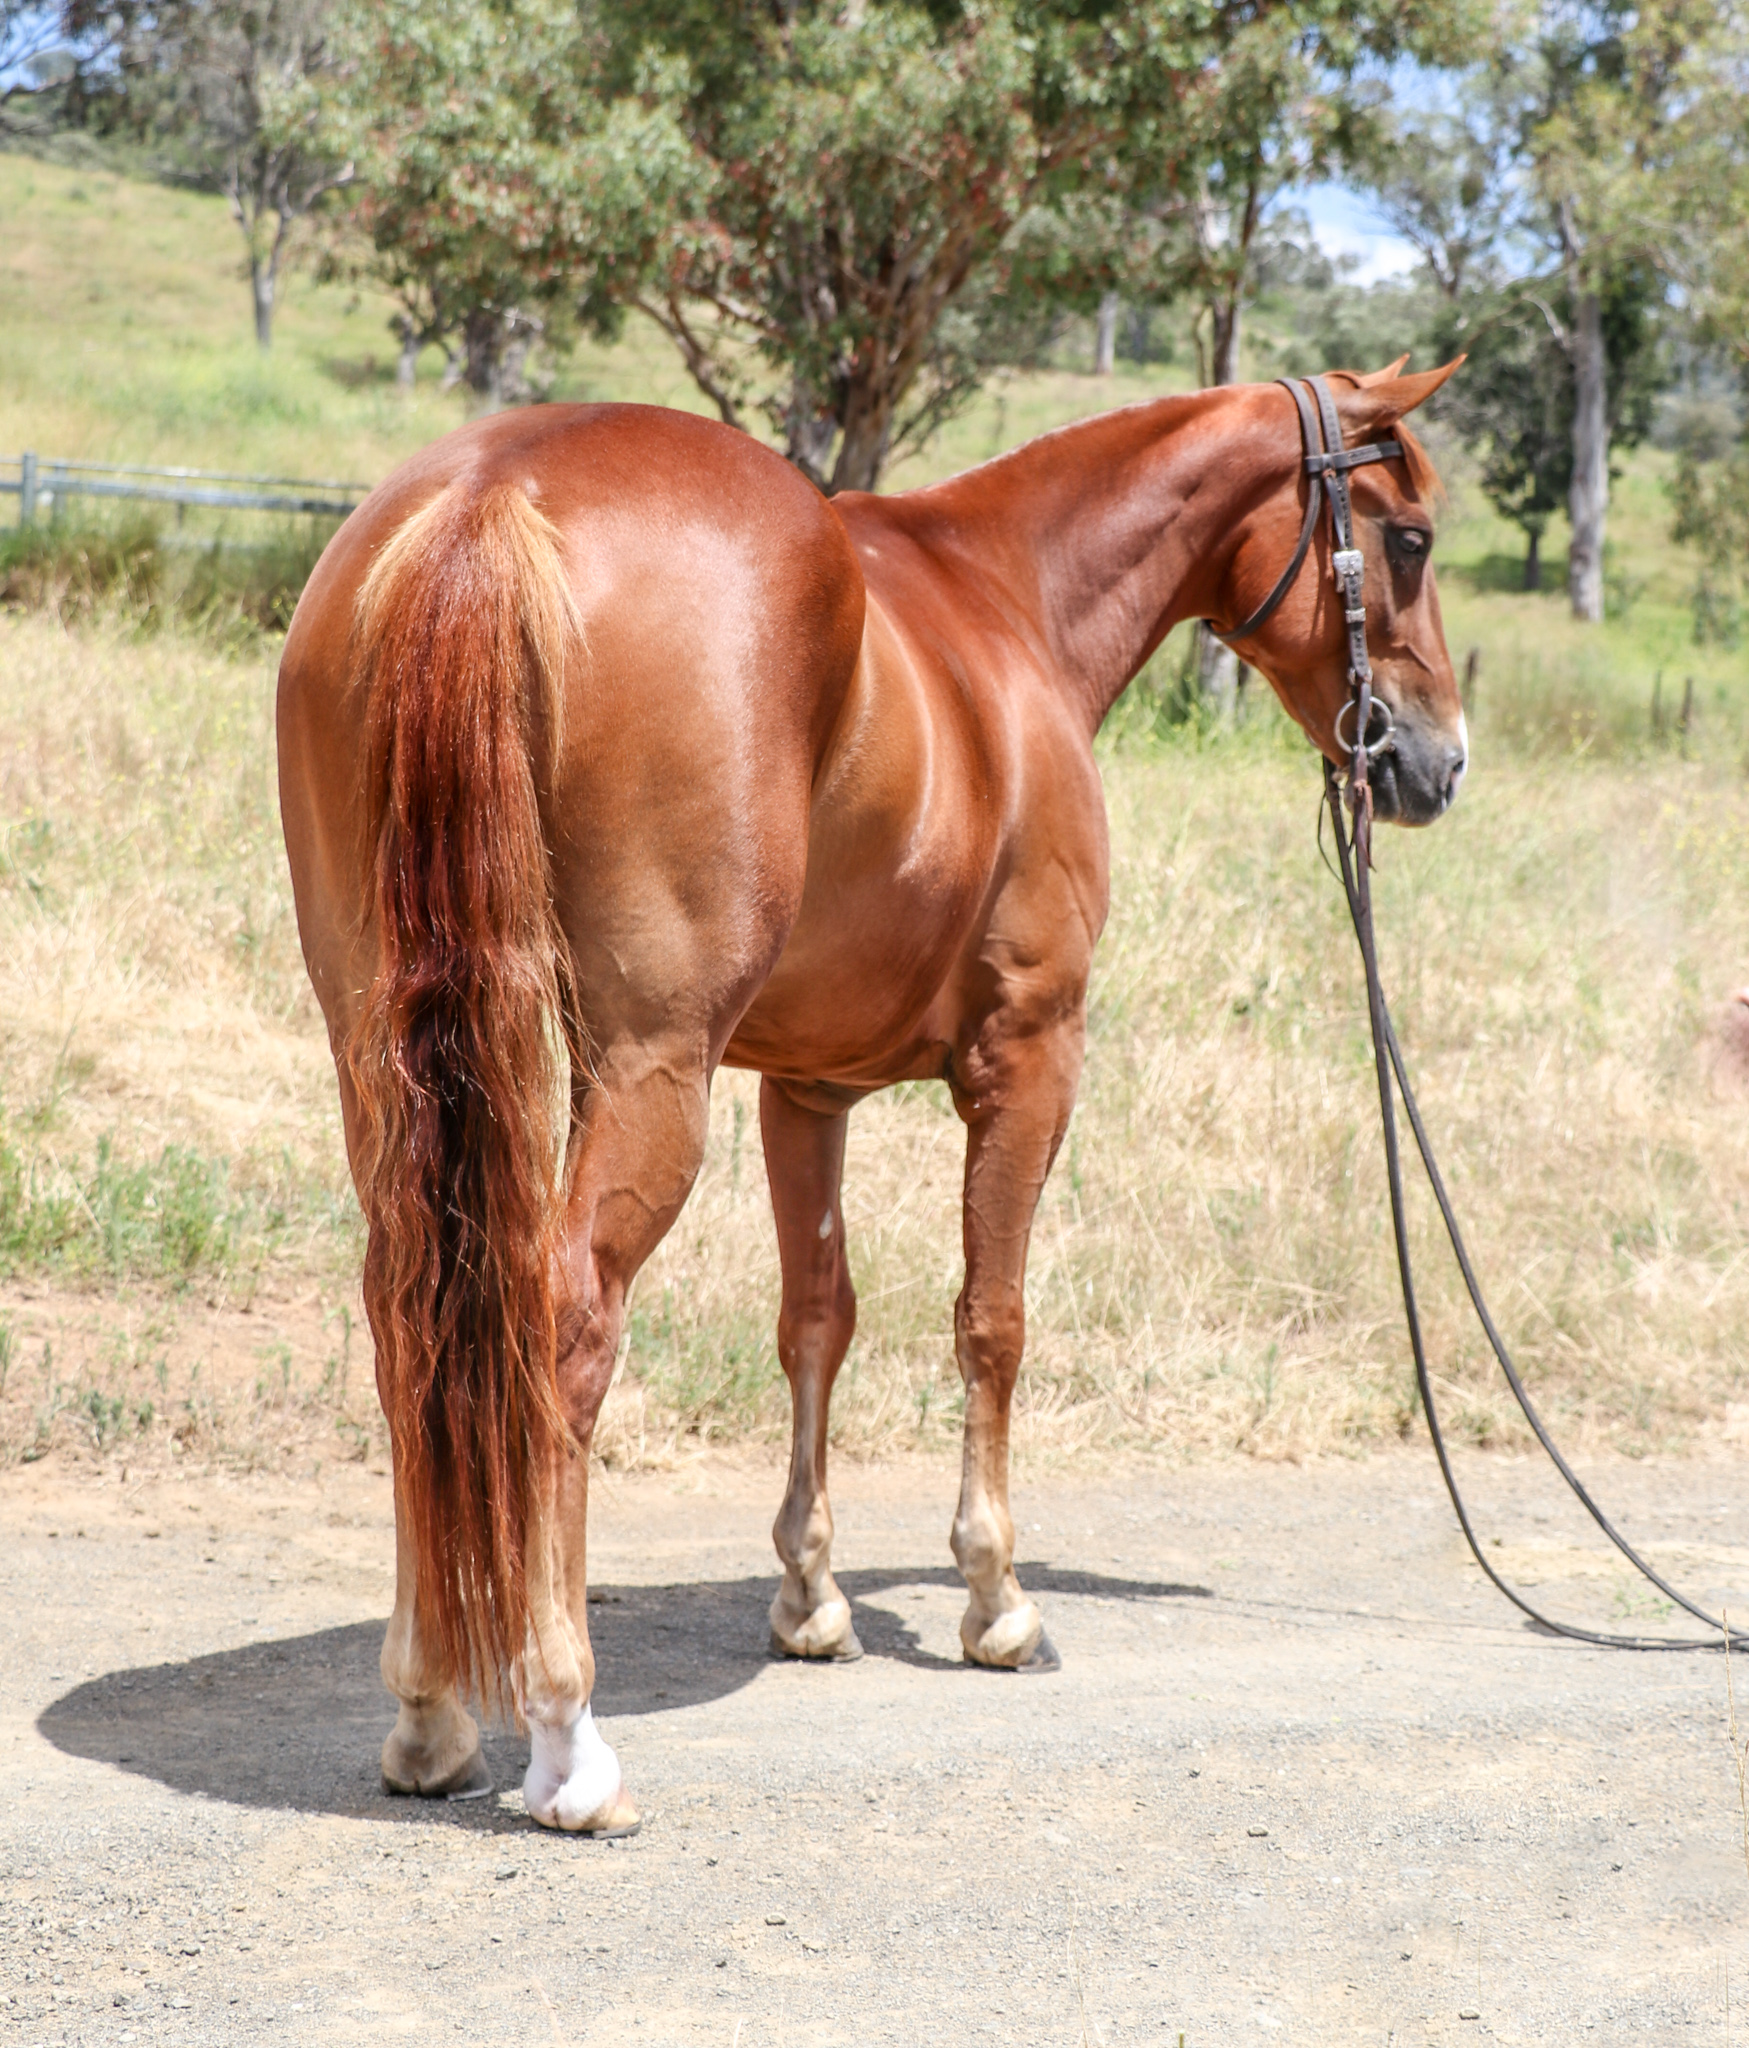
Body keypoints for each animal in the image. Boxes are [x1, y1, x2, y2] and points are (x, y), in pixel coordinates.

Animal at [276, 357, 1466, 1835]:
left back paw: (430, 1710)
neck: (1008, 598)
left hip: (380, 1054)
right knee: (559, 1323)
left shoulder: (807, 1088)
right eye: (1408, 538)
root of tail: (486, 498)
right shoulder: (1030, 1057)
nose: (1436, 761)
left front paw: (812, 1596)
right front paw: (997, 1599)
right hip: (648, 1069)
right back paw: (564, 1734)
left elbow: (816, 1322)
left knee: (414, 1320)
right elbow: (991, 1322)